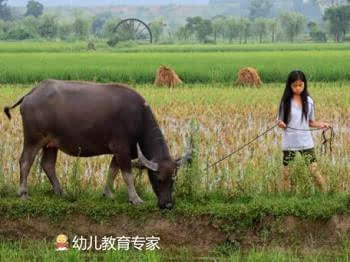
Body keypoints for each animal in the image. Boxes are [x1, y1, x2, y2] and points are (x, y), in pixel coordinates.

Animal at [4, 79, 191, 209]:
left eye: (173, 179)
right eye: (158, 179)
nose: (168, 205)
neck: (138, 120)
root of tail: (32, 93)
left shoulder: (119, 152)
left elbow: (112, 171)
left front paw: (108, 194)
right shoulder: (121, 149)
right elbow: (127, 175)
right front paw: (135, 198)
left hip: (51, 144)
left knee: (47, 164)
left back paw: (60, 192)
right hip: (33, 139)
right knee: (25, 161)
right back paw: (23, 193)